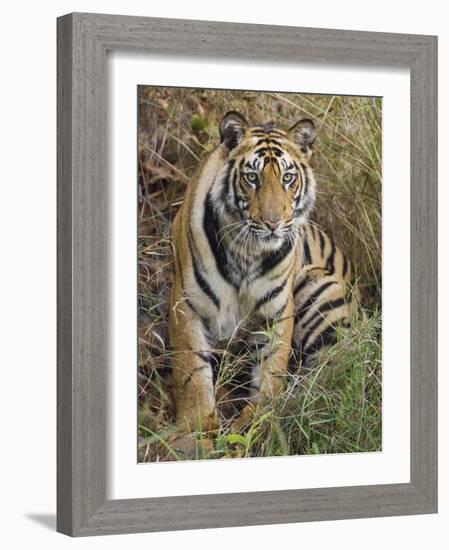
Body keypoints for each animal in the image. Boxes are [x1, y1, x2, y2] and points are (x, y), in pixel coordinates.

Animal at [168, 112, 350, 440]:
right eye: (252, 177)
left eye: (287, 178)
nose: (273, 223)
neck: (247, 251)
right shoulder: (185, 304)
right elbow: (192, 373)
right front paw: (195, 431)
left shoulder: (277, 312)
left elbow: (270, 374)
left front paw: (259, 424)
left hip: (321, 289)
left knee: (329, 375)